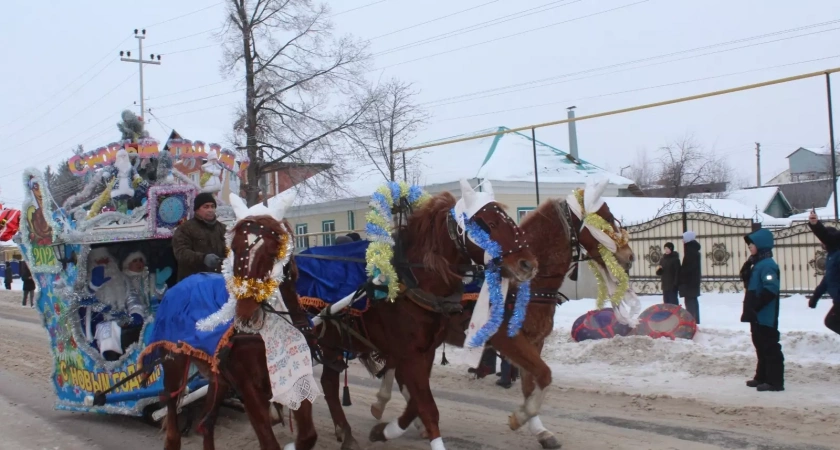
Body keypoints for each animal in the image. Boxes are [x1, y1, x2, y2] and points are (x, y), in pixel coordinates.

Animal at [143, 196, 316, 450]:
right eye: (233, 248)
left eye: (273, 249)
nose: (244, 310)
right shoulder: (249, 388)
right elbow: (269, 442)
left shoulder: (296, 379)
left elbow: (307, 436)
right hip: (174, 365)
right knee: (173, 424)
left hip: (218, 378)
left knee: (206, 424)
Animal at [308, 184, 540, 450]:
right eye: (489, 224)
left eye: (510, 219)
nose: (528, 264)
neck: (412, 283)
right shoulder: (410, 355)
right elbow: (428, 407)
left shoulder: (425, 352)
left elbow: (417, 403)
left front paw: (385, 429)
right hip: (329, 342)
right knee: (327, 382)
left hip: (335, 344)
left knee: (329, 381)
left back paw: (345, 431)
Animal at [370, 189, 632, 446]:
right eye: (605, 218)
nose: (629, 256)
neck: (523, 287)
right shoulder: (508, 340)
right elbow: (544, 375)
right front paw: (521, 417)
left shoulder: (535, 341)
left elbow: (532, 383)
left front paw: (539, 429)